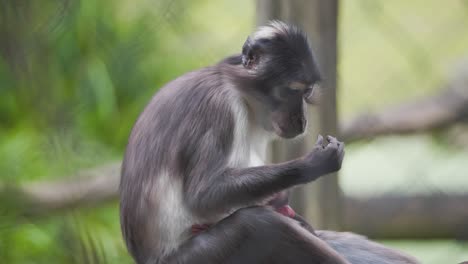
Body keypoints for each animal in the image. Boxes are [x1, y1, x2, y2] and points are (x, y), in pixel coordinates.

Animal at [119, 21, 418, 264]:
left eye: (307, 92)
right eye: (291, 91)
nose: (302, 120)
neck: (238, 91)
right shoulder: (217, 108)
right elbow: (203, 195)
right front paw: (312, 164)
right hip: (199, 257)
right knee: (262, 224)